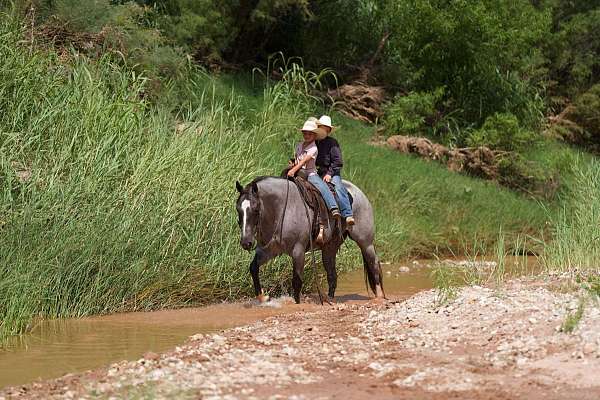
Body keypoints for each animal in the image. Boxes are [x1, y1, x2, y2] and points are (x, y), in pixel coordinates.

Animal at [234, 177, 384, 304]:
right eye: (238, 209)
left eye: (256, 209)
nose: (246, 242)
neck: (282, 209)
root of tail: (359, 193)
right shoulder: (268, 251)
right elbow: (253, 268)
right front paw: (263, 297)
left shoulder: (298, 251)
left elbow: (296, 281)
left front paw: (296, 303)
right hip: (329, 248)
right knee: (332, 275)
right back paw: (329, 299)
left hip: (366, 242)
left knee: (374, 264)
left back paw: (380, 296)